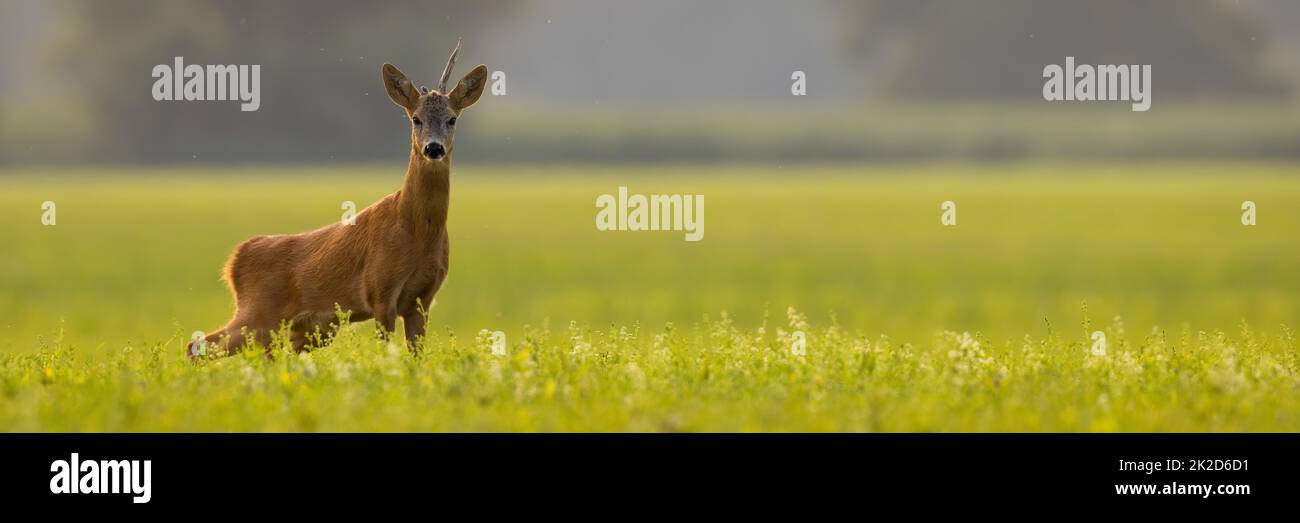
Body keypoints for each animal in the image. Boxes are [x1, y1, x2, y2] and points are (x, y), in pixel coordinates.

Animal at [192, 40, 491, 356]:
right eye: (416, 119)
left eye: (452, 119)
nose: (433, 148)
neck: (416, 231)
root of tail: (234, 261)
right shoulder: (380, 291)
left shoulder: (422, 300)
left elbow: (416, 357)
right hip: (258, 314)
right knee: (197, 345)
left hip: (302, 331)